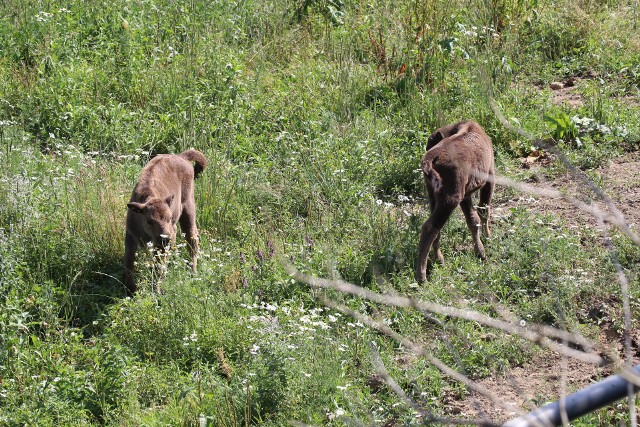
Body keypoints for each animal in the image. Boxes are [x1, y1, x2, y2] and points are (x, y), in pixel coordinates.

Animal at [124, 150, 206, 294]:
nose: (166, 238)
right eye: (149, 221)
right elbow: (129, 261)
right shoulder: (131, 235)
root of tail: (181, 156)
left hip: (188, 209)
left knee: (192, 238)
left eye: (169, 217)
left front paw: (156, 291)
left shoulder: (161, 246)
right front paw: (131, 289)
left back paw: (193, 271)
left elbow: (158, 268)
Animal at [416, 120, 496, 284]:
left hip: (434, 197)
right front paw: (487, 239)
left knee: (435, 228)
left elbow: (472, 220)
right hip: (450, 200)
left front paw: (480, 251)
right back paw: (422, 277)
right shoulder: (489, 177)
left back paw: (439, 260)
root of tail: (430, 160)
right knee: (430, 228)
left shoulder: (465, 195)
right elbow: (483, 210)